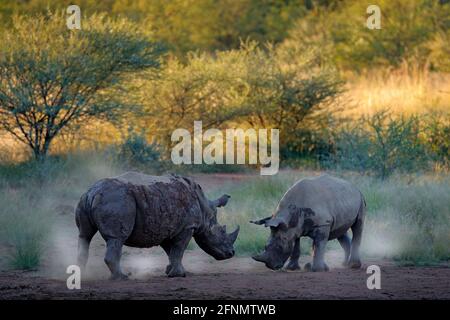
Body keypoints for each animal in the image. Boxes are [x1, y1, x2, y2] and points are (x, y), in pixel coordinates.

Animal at [75, 171, 241, 278]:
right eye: (221, 232)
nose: (231, 253)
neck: (206, 210)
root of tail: (92, 192)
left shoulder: (168, 228)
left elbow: (171, 251)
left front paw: (171, 271)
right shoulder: (187, 227)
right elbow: (179, 249)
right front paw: (179, 275)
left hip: (87, 200)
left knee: (84, 236)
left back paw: (81, 275)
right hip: (117, 200)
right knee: (116, 238)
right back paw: (122, 277)